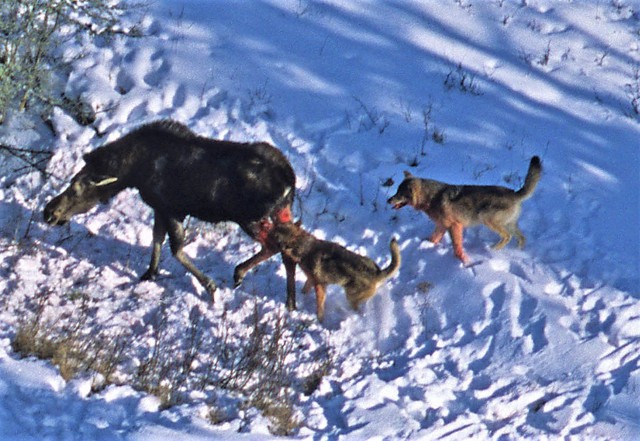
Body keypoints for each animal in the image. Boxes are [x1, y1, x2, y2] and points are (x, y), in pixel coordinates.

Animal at [268, 223, 400, 320]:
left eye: (274, 233)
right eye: (277, 227)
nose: (267, 224)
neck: (303, 246)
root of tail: (377, 272)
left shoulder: (320, 285)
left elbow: (319, 305)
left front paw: (319, 319)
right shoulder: (312, 279)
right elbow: (305, 289)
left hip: (350, 296)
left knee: (357, 309)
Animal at [388, 156, 544, 262]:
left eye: (399, 194)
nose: (388, 200)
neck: (432, 198)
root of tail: (515, 193)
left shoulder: (455, 226)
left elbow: (457, 246)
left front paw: (462, 260)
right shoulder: (441, 226)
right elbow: (433, 239)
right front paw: (425, 245)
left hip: (486, 218)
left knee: (507, 237)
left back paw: (492, 250)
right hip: (509, 224)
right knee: (522, 238)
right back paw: (517, 252)